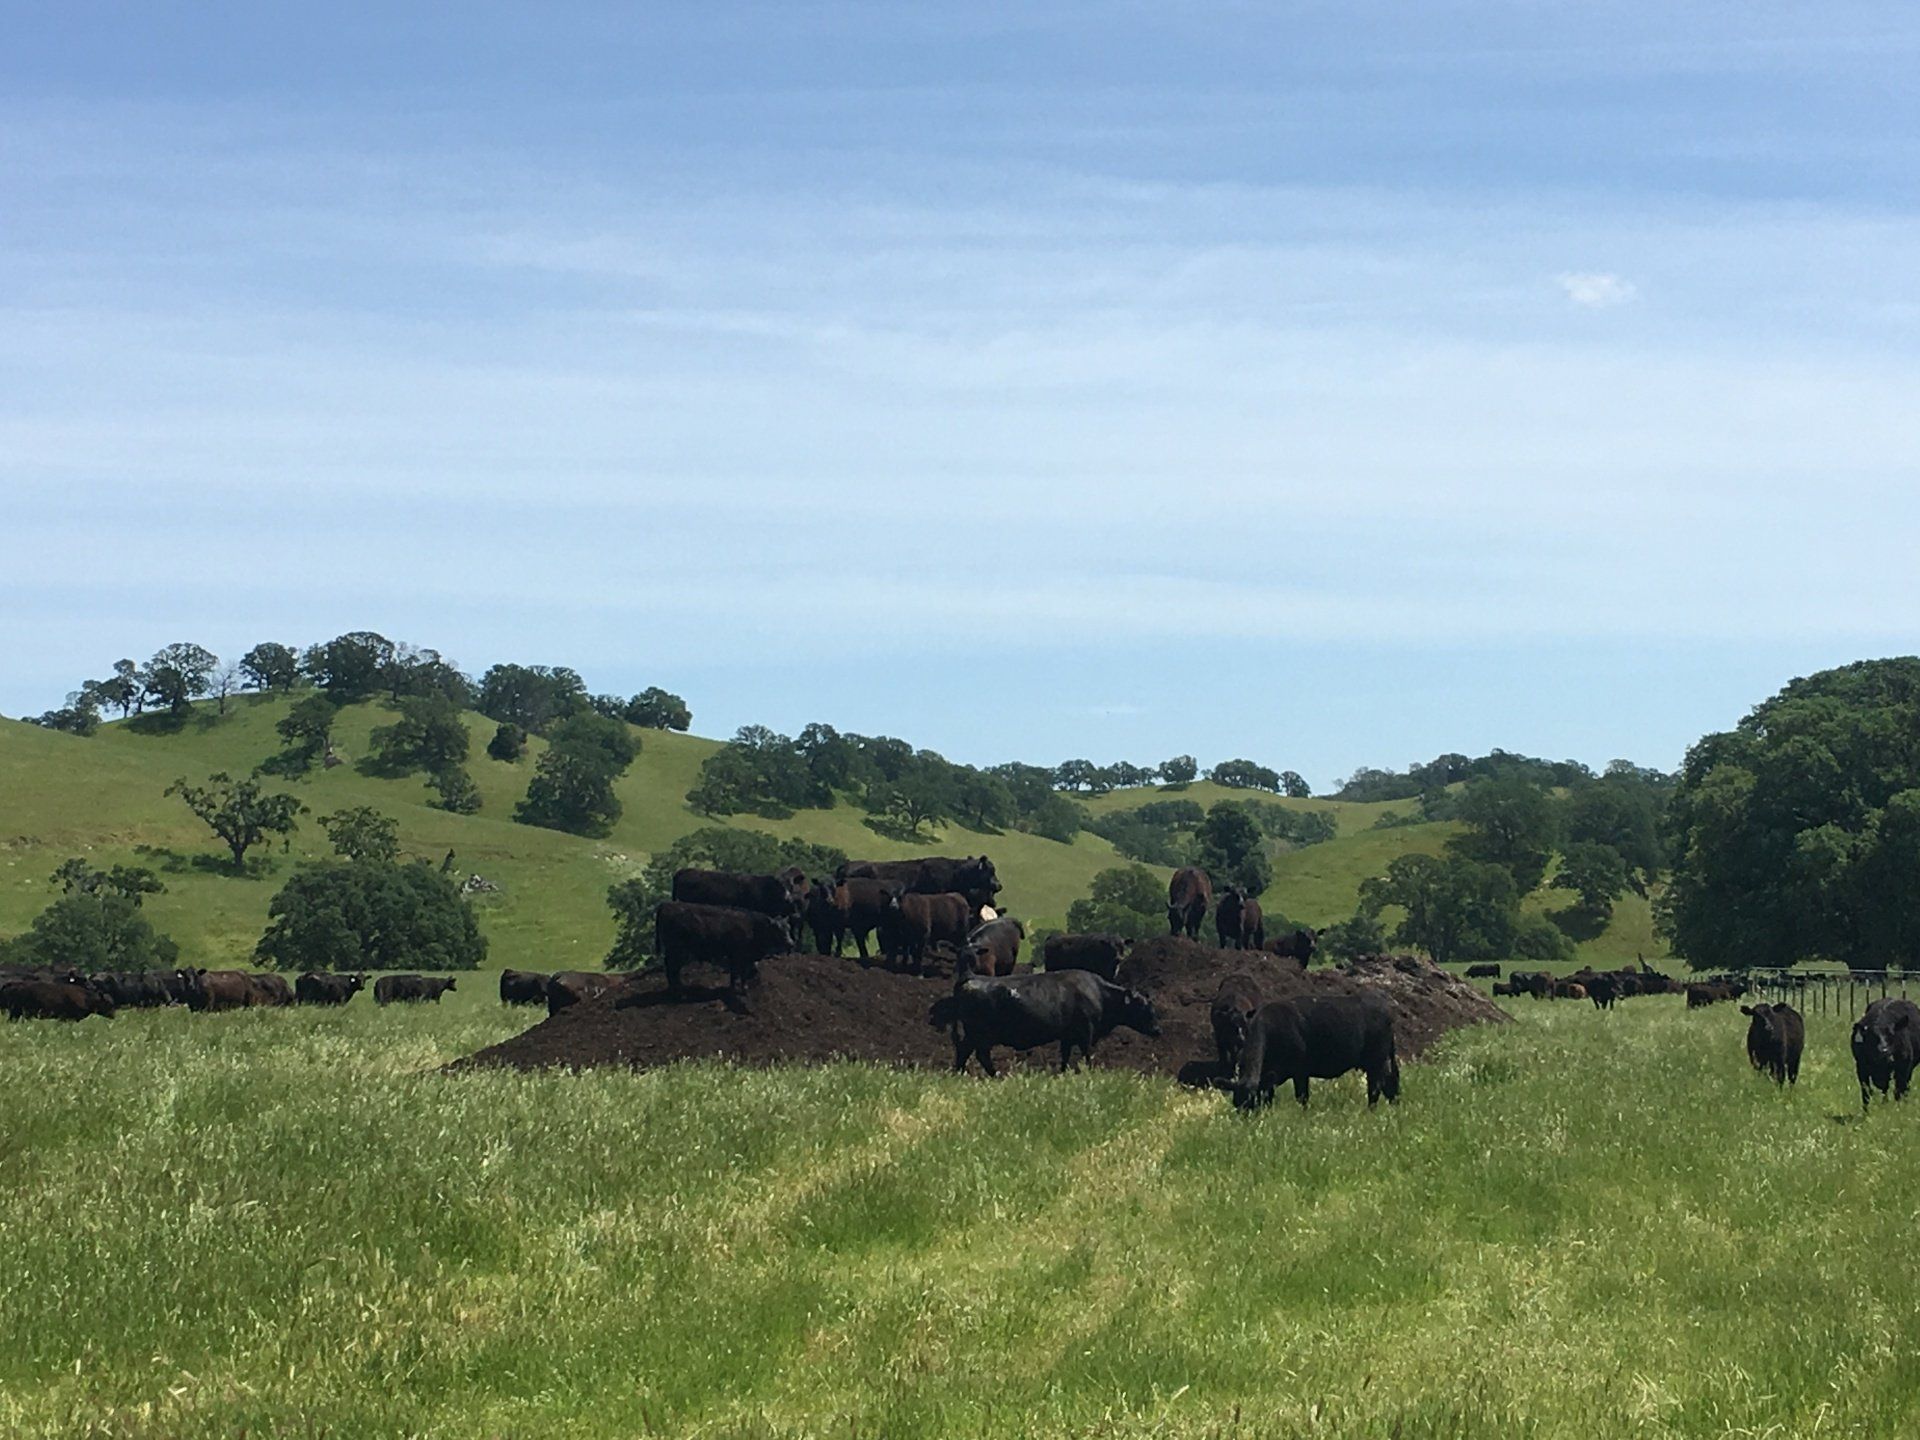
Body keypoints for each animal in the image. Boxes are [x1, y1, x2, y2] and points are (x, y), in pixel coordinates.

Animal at [654, 901, 791, 995]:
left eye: (788, 928)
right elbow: (738, 973)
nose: (791, 942)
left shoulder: (741, 957)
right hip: (677, 951)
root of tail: (665, 904)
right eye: (777, 930)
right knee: (672, 968)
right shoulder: (739, 957)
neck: (754, 927)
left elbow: (738, 974)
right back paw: (677, 991)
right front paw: (739, 990)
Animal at [930, 969, 1160, 1076]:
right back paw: (995, 1075)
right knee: (977, 1054)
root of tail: (970, 978)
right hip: (980, 1035)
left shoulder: (1067, 1036)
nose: (1158, 1030)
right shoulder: (1086, 1032)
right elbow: (1086, 1054)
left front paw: (1063, 1073)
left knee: (967, 1052)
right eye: (1144, 1008)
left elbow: (1065, 1056)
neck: (1098, 992)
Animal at [1233, 993, 1400, 1110]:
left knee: (1375, 1089)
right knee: (1389, 1084)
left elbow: (1302, 1097)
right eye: (1236, 1103)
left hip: (1376, 1063)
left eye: (1250, 1101)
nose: (1245, 1119)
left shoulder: (1300, 1072)